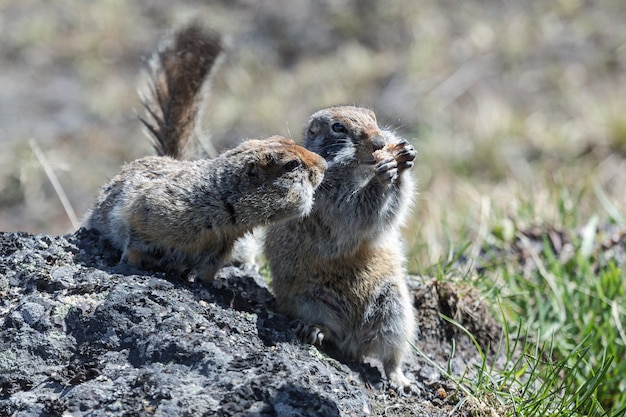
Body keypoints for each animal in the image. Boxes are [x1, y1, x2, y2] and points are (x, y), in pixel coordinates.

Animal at [82, 24, 324, 282]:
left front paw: (209, 283)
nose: (324, 164)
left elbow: (210, 267)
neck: (220, 201)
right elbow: (136, 239)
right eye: (292, 164)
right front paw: (129, 264)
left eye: (288, 139)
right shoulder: (148, 209)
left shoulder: (224, 244)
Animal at [264, 105, 416, 392]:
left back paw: (401, 380)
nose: (380, 142)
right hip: (309, 301)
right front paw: (385, 173)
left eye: (374, 118)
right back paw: (313, 329)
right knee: (330, 331)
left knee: (390, 356)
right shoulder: (328, 195)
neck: (358, 170)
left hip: (396, 311)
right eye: (338, 128)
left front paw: (404, 156)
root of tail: (352, 341)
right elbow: (355, 212)